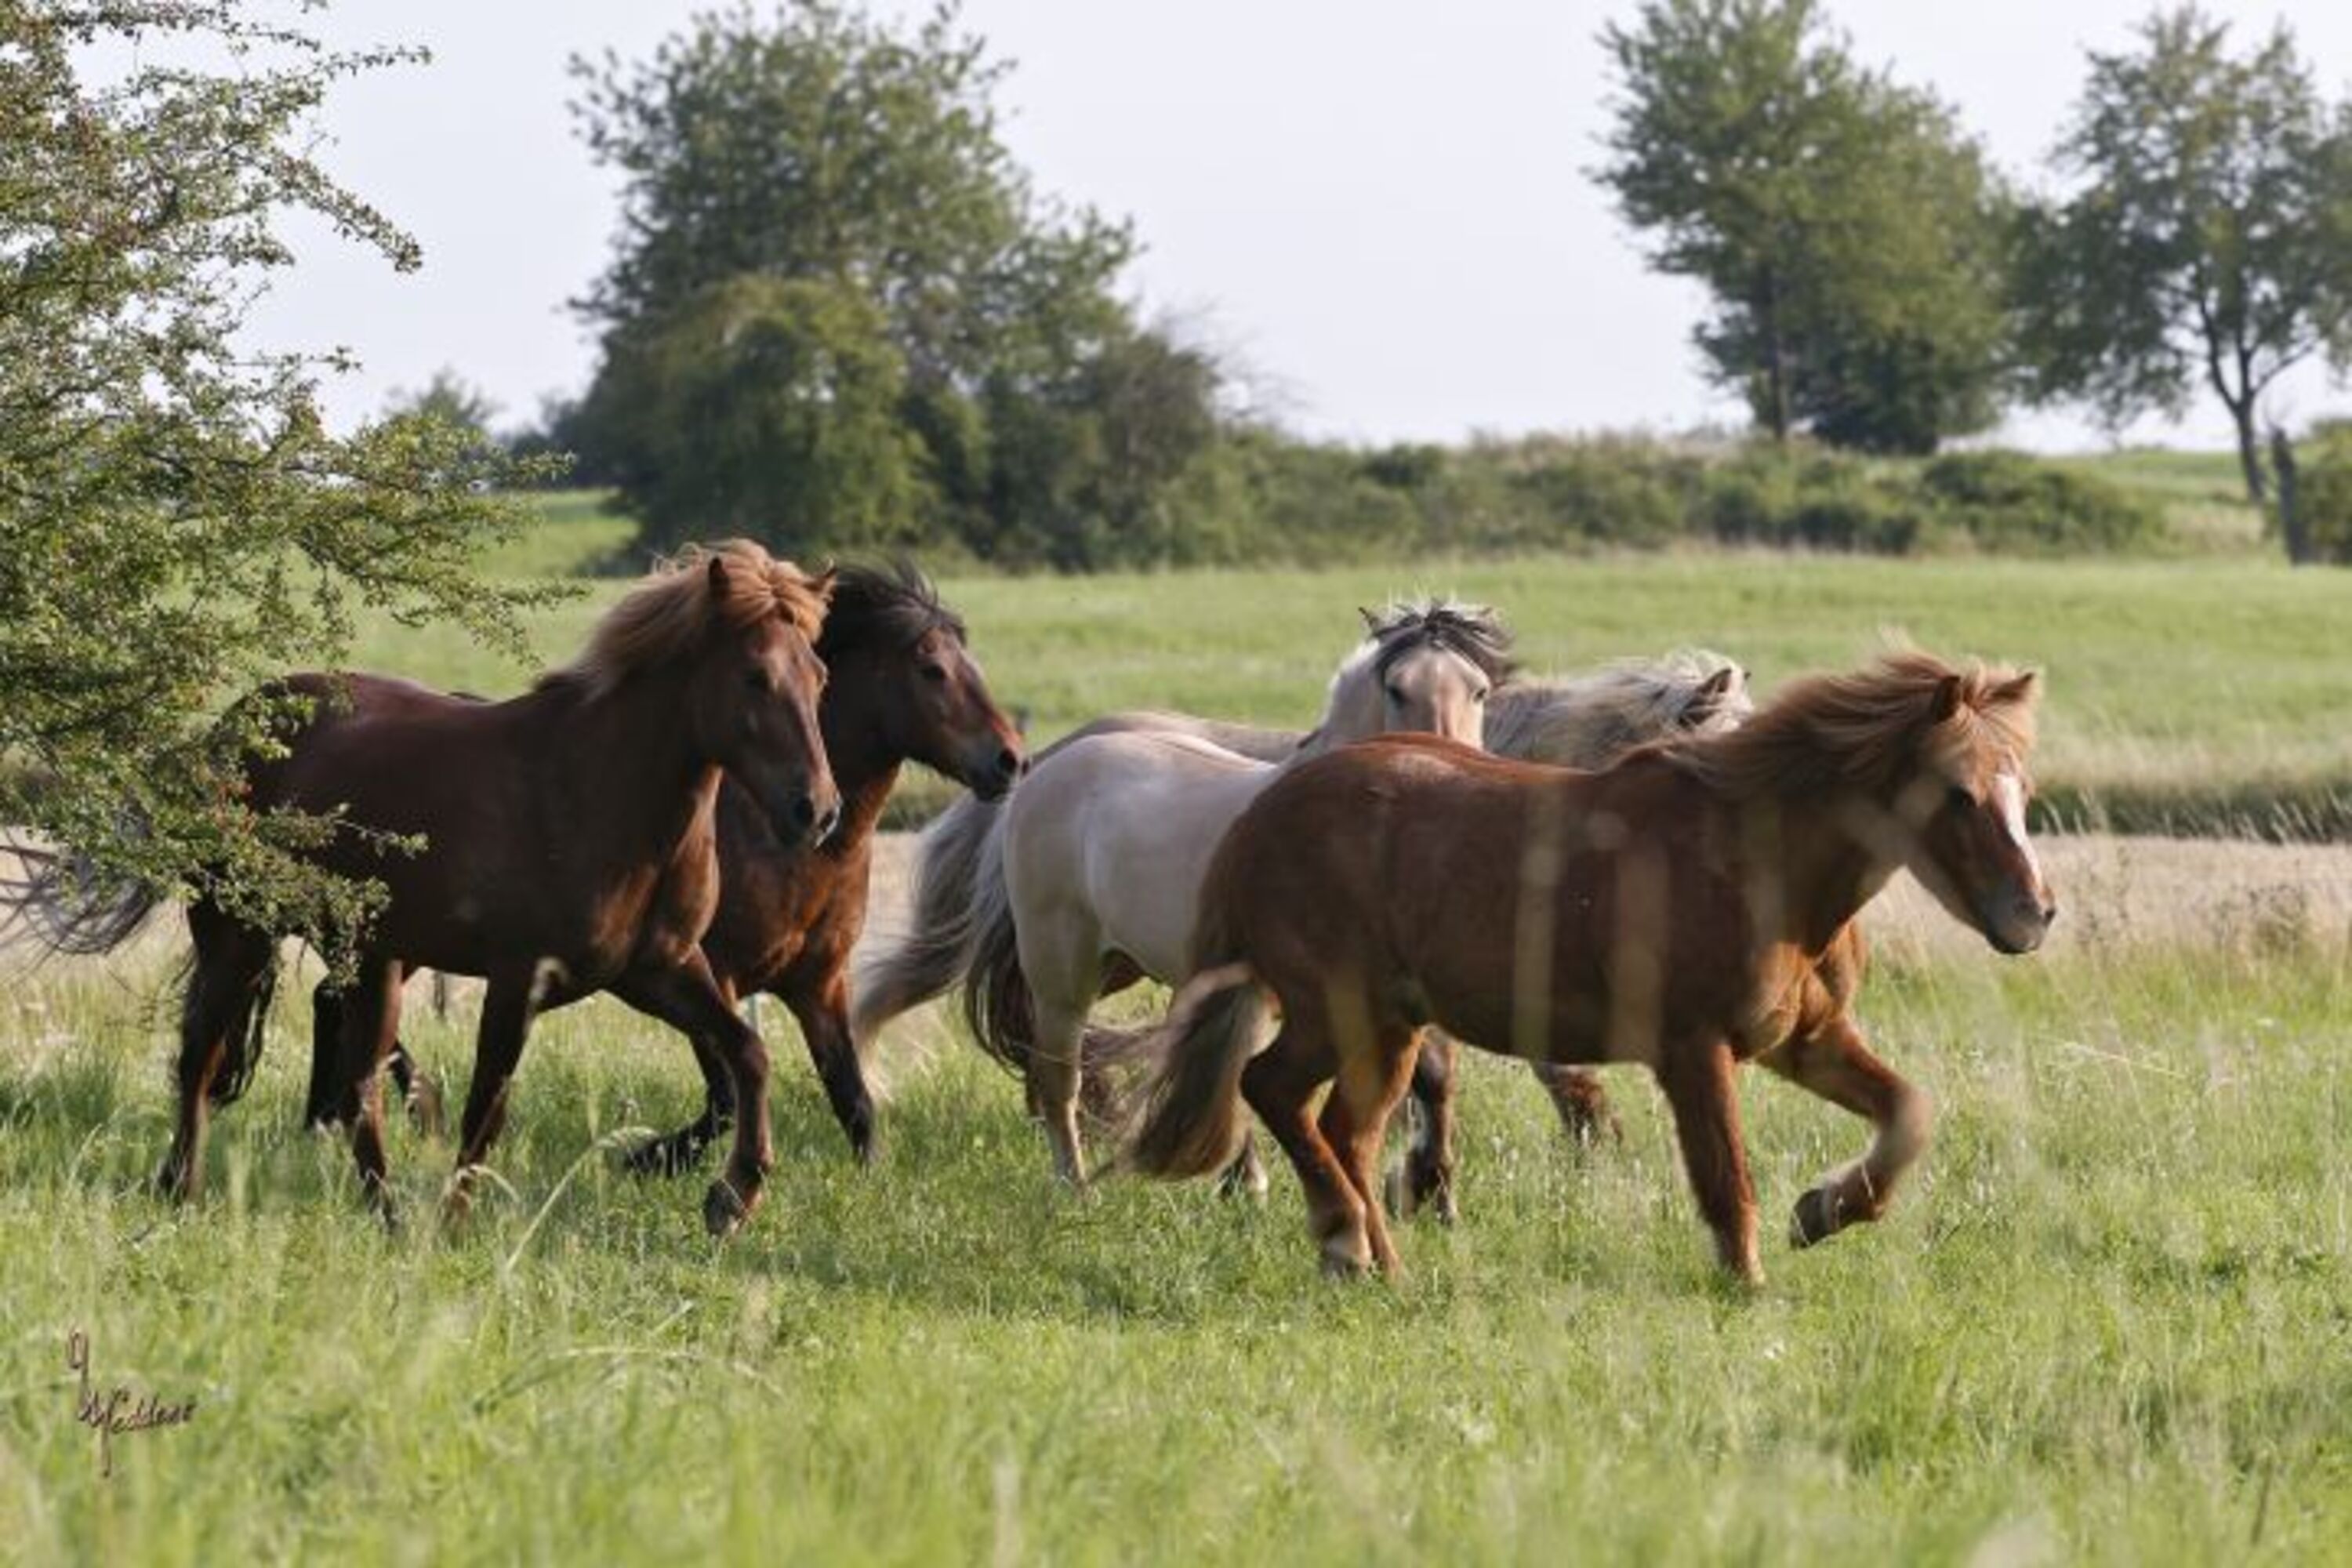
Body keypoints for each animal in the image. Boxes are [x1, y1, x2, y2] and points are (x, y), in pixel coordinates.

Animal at [6, 542, 839, 1239]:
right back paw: (186, 1188)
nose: (817, 811)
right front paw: (455, 1223)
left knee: (354, 1088)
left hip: (372, 958)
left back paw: (384, 1215)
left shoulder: (659, 971)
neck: (593, 792)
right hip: (239, 938)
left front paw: (732, 1199)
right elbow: (486, 1110)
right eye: (755, 676)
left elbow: (749, 1054)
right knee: (203, 1062)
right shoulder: (520, 981)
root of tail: (231, 729)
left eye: (820, 677)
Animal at [307, 564, 1027, 1176]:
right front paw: (647, 1160)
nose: (1009, 760)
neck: (783, 844)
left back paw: (328, 1121)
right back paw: (387, 1113)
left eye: (820, 677)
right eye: (933, 670)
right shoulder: (716, 972)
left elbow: (852, 1100)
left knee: (331, 1001)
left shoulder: (817, 984)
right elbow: (727, 1096)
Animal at [1126, 653, 2052, 1284]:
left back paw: (1380, 1264)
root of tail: (1260, 816)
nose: (2035, 914)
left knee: (1346, 1132)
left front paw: (1824, 1211)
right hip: (1335, 1010)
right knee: (1273, 1089)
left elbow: (1908, 1114)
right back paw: (1347, 1242)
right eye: (1959, 793)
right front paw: (1748, 1283)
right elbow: (1727, 1176)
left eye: (2024, 789)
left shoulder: (1807, 1040)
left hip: (1389, 1028)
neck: (1755, 861)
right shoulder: (1694, 1050)